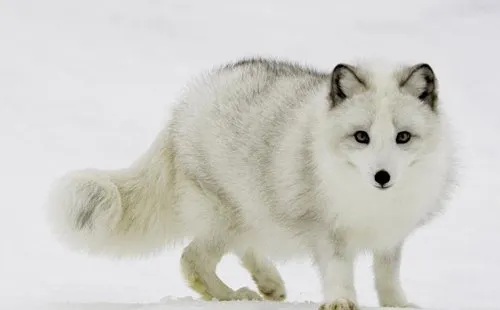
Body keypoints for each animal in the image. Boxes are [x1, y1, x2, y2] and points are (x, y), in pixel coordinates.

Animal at [47, 58, 458, 310]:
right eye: (361, 137)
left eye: (403, 137)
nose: (382, 177)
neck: (370, 200)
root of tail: (184, 106)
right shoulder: (327, 229)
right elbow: (340, 270)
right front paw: (340, 302)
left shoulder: (391, 234)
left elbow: (388, 274)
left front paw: (398, 305)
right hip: (226, 217)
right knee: (191, 260)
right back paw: (234, 296)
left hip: (251, 213)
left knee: (242, 249)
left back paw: (269, 283)